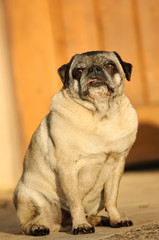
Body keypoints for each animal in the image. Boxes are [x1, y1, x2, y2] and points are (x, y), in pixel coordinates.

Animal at [13, 51, 138, 236]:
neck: (101, 115)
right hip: (27, 195)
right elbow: (75, 202)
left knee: (93, 214)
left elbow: (112, 198)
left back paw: (102, 219)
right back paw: (38, 228)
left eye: (110, 65)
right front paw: (81, 225)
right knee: (27, 224)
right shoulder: (67, 167)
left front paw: (116, 219)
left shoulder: (117, 165)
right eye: (78, 71)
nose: (94, 69)